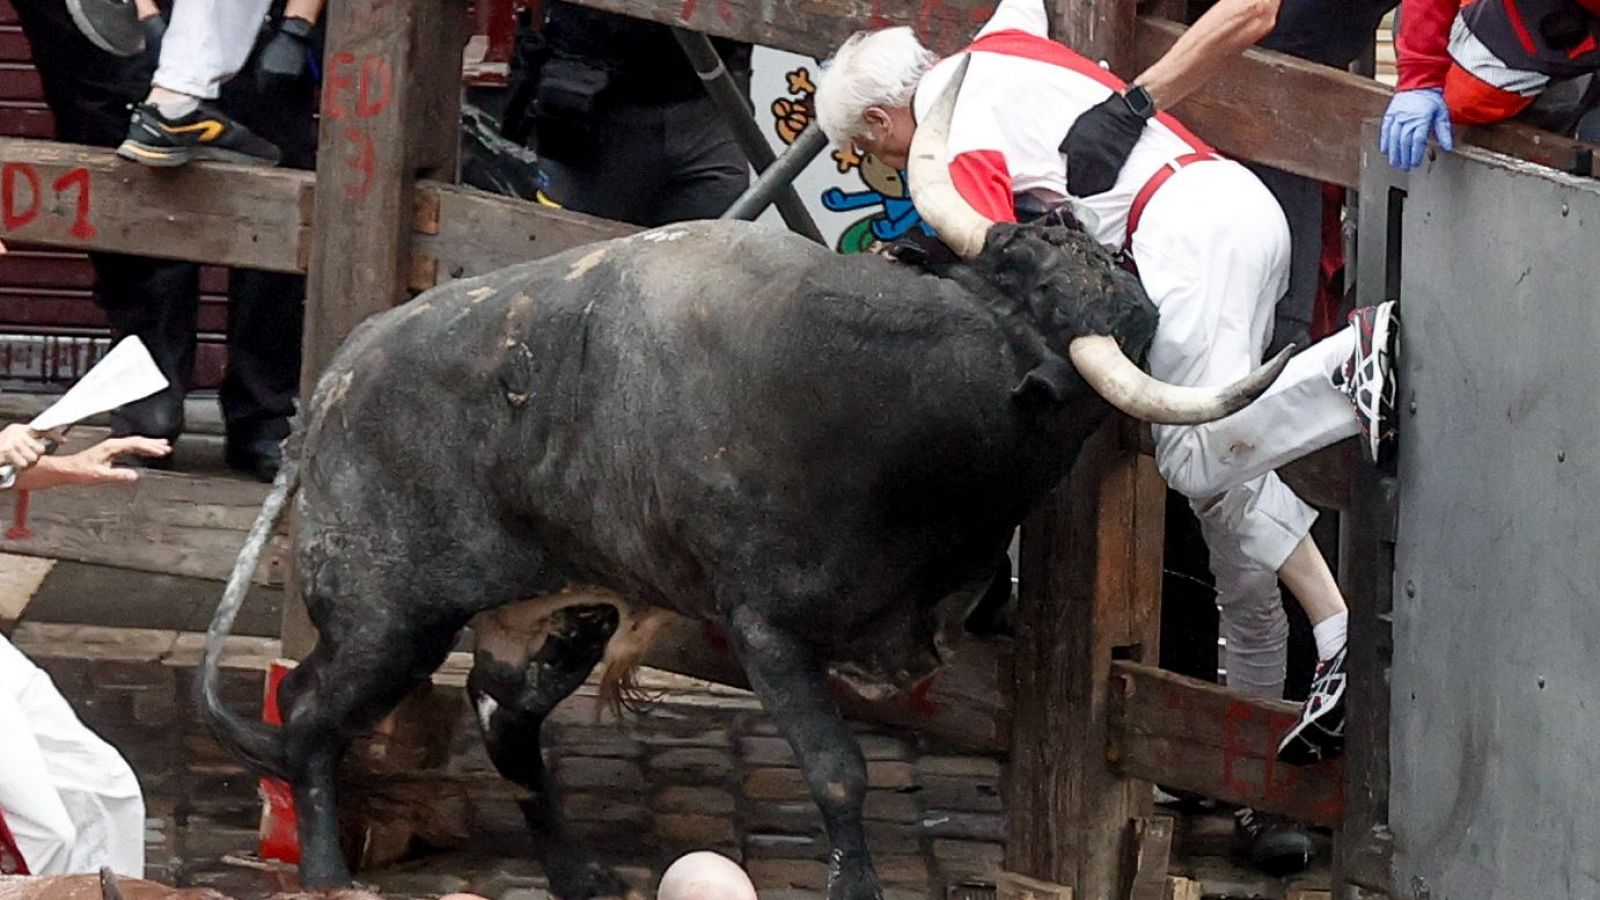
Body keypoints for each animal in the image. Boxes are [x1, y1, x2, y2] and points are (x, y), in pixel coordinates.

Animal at [206, 217, 1164, 896]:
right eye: (1023, 269)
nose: (1092, 237)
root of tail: (338, 375)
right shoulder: (766, 630)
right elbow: (838, 774)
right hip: (387, 619)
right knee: (309, 710)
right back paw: (326, 873)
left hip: (557, 614)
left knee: (504, 719)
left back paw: (578, 875)